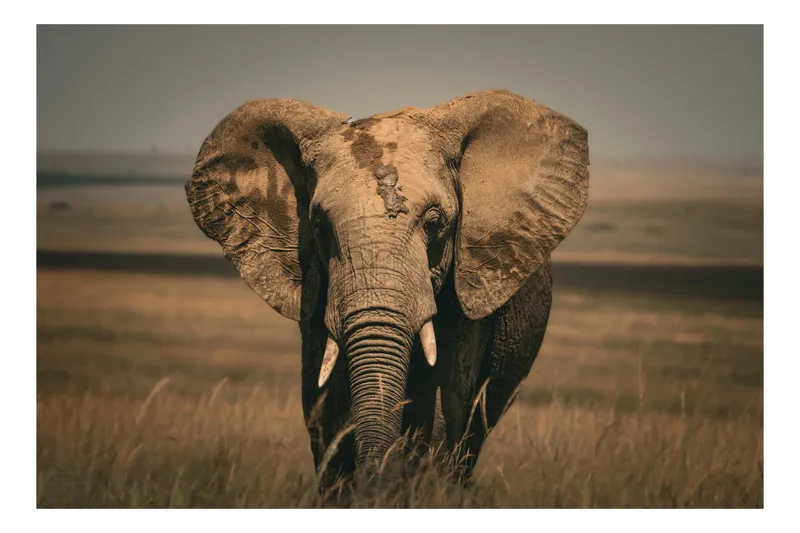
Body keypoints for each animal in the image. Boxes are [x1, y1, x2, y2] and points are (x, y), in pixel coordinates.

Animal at [185, 89, 589, 490]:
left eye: (435, 223)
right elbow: (324, 409)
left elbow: (440, 412)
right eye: (319, 226)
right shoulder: (316, 295)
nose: (373, 478)